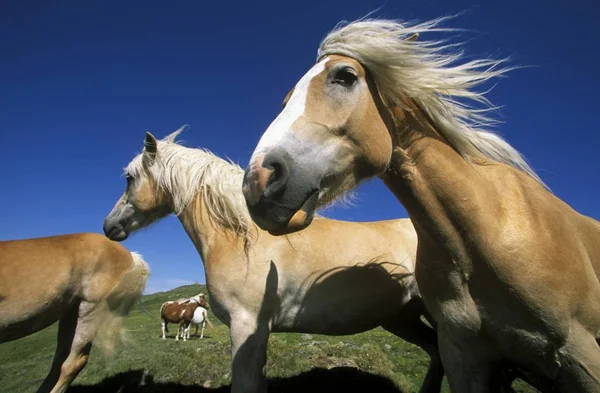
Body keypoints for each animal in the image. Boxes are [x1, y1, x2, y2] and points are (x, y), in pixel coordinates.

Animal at [104, 128, 446, 392]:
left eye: (129, 178)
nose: (109, 226)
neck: (243, 238)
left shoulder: (247, 330)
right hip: (402, 317)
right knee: (438, 352)